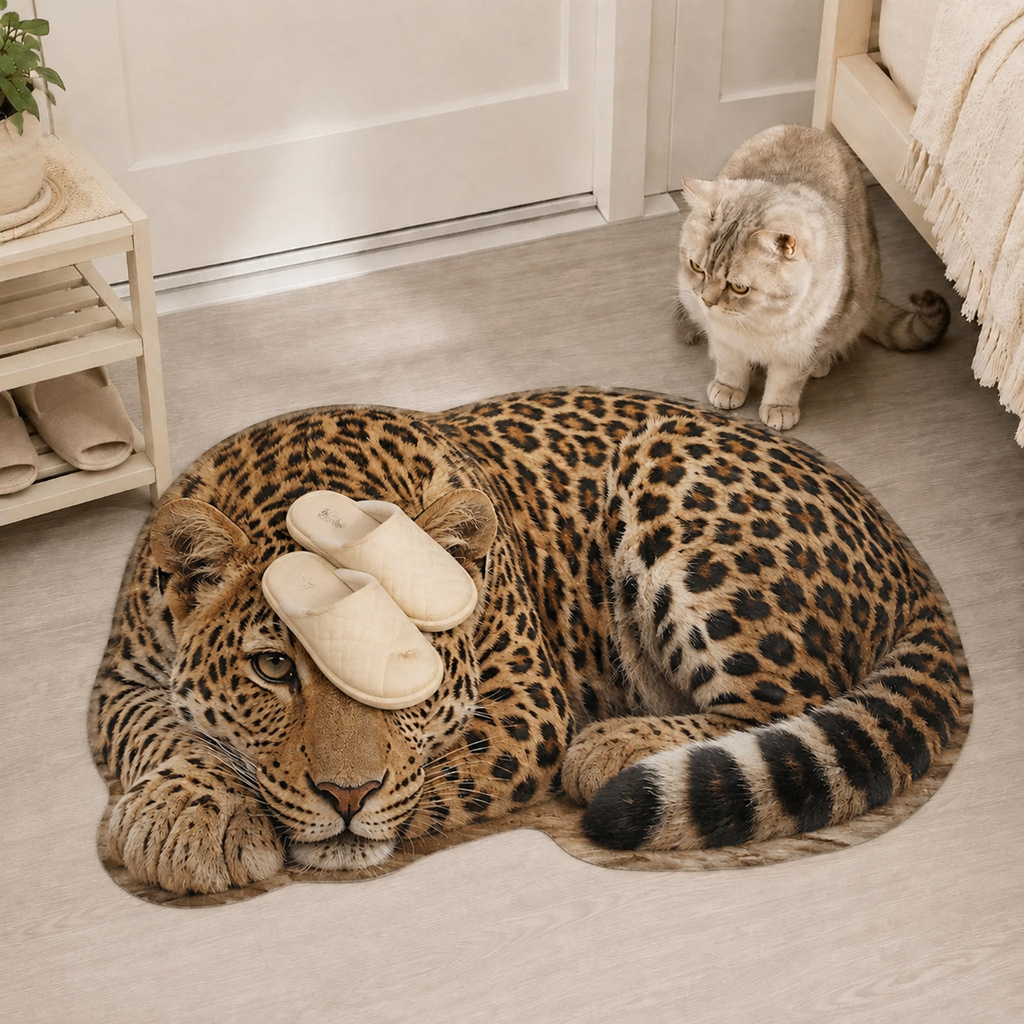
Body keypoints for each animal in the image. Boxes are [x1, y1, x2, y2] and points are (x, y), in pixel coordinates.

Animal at [91, 387, 967, 896]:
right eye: (274, 668)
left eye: (407, 662)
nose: (347, 798)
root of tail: (897, 536)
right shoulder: (120, 681)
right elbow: (163, 731)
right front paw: (188, 815)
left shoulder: (525, 703)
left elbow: (426, 776)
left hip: (668, 474)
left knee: (794, 700)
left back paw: (616, 747)